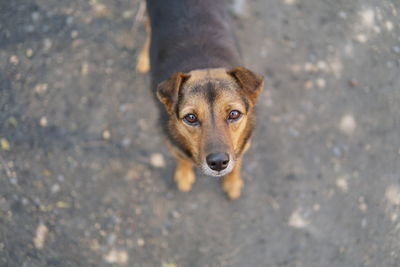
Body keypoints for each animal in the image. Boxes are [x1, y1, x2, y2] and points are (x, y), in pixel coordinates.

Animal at [139, 0, 264, 200]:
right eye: (191, 118)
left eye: (234, 114)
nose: (219, 162)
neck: (204, 63)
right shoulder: (171, 142)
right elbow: (181, 158)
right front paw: (184, 175)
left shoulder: (243, 144)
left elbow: (237, 162)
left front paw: (233, 182)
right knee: (148, 26)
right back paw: (144, 58)